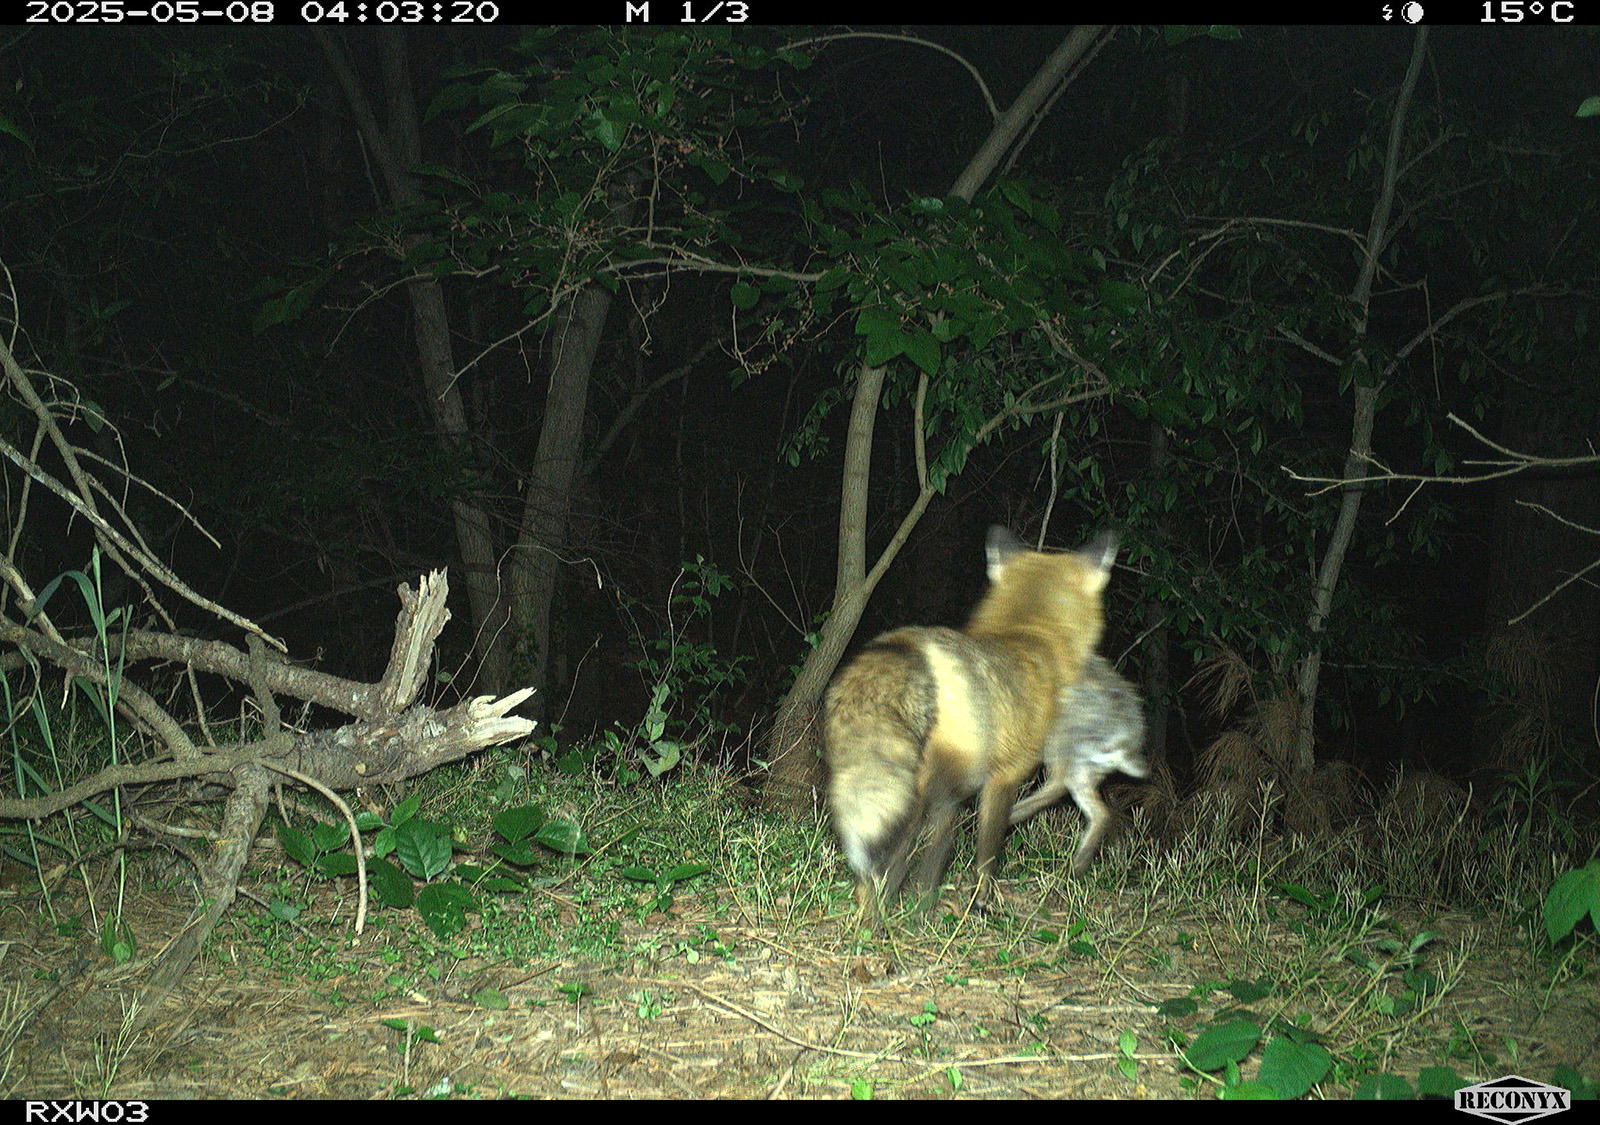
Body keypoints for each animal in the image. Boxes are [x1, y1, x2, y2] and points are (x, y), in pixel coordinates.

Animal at [824, 526, 1117, 915]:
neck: (1032, 632)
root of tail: (907, 646)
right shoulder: (1005, 775)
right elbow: (988, 854)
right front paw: (982, 901)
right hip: (938, 787)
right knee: (916, 856)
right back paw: (910, 912)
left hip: (902, 784)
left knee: (885, 865)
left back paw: (878, 916)